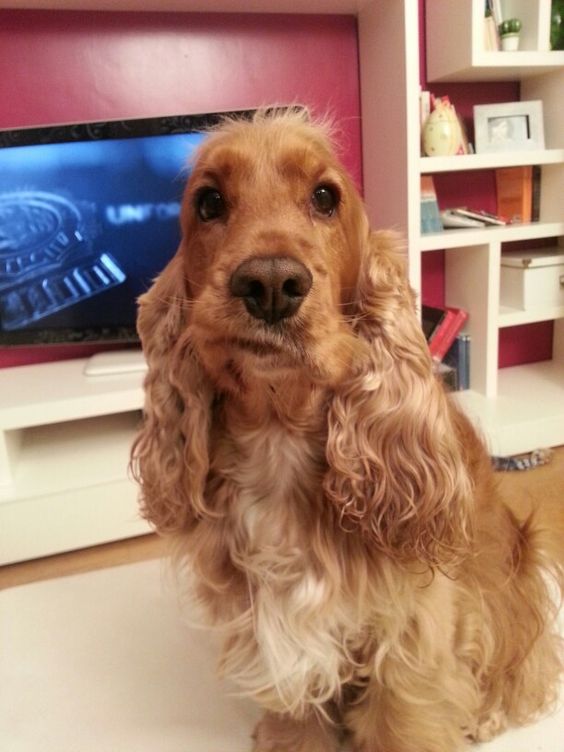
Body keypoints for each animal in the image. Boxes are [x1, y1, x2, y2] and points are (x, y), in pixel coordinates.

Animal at [129, 110, 564, 752]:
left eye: (325, 197)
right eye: (208, 203)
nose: (270, 283)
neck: (279, 438)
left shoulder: (413, 639)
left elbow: (406, 723)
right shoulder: (269, 634)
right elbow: (296, 717)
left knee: (524, 665)